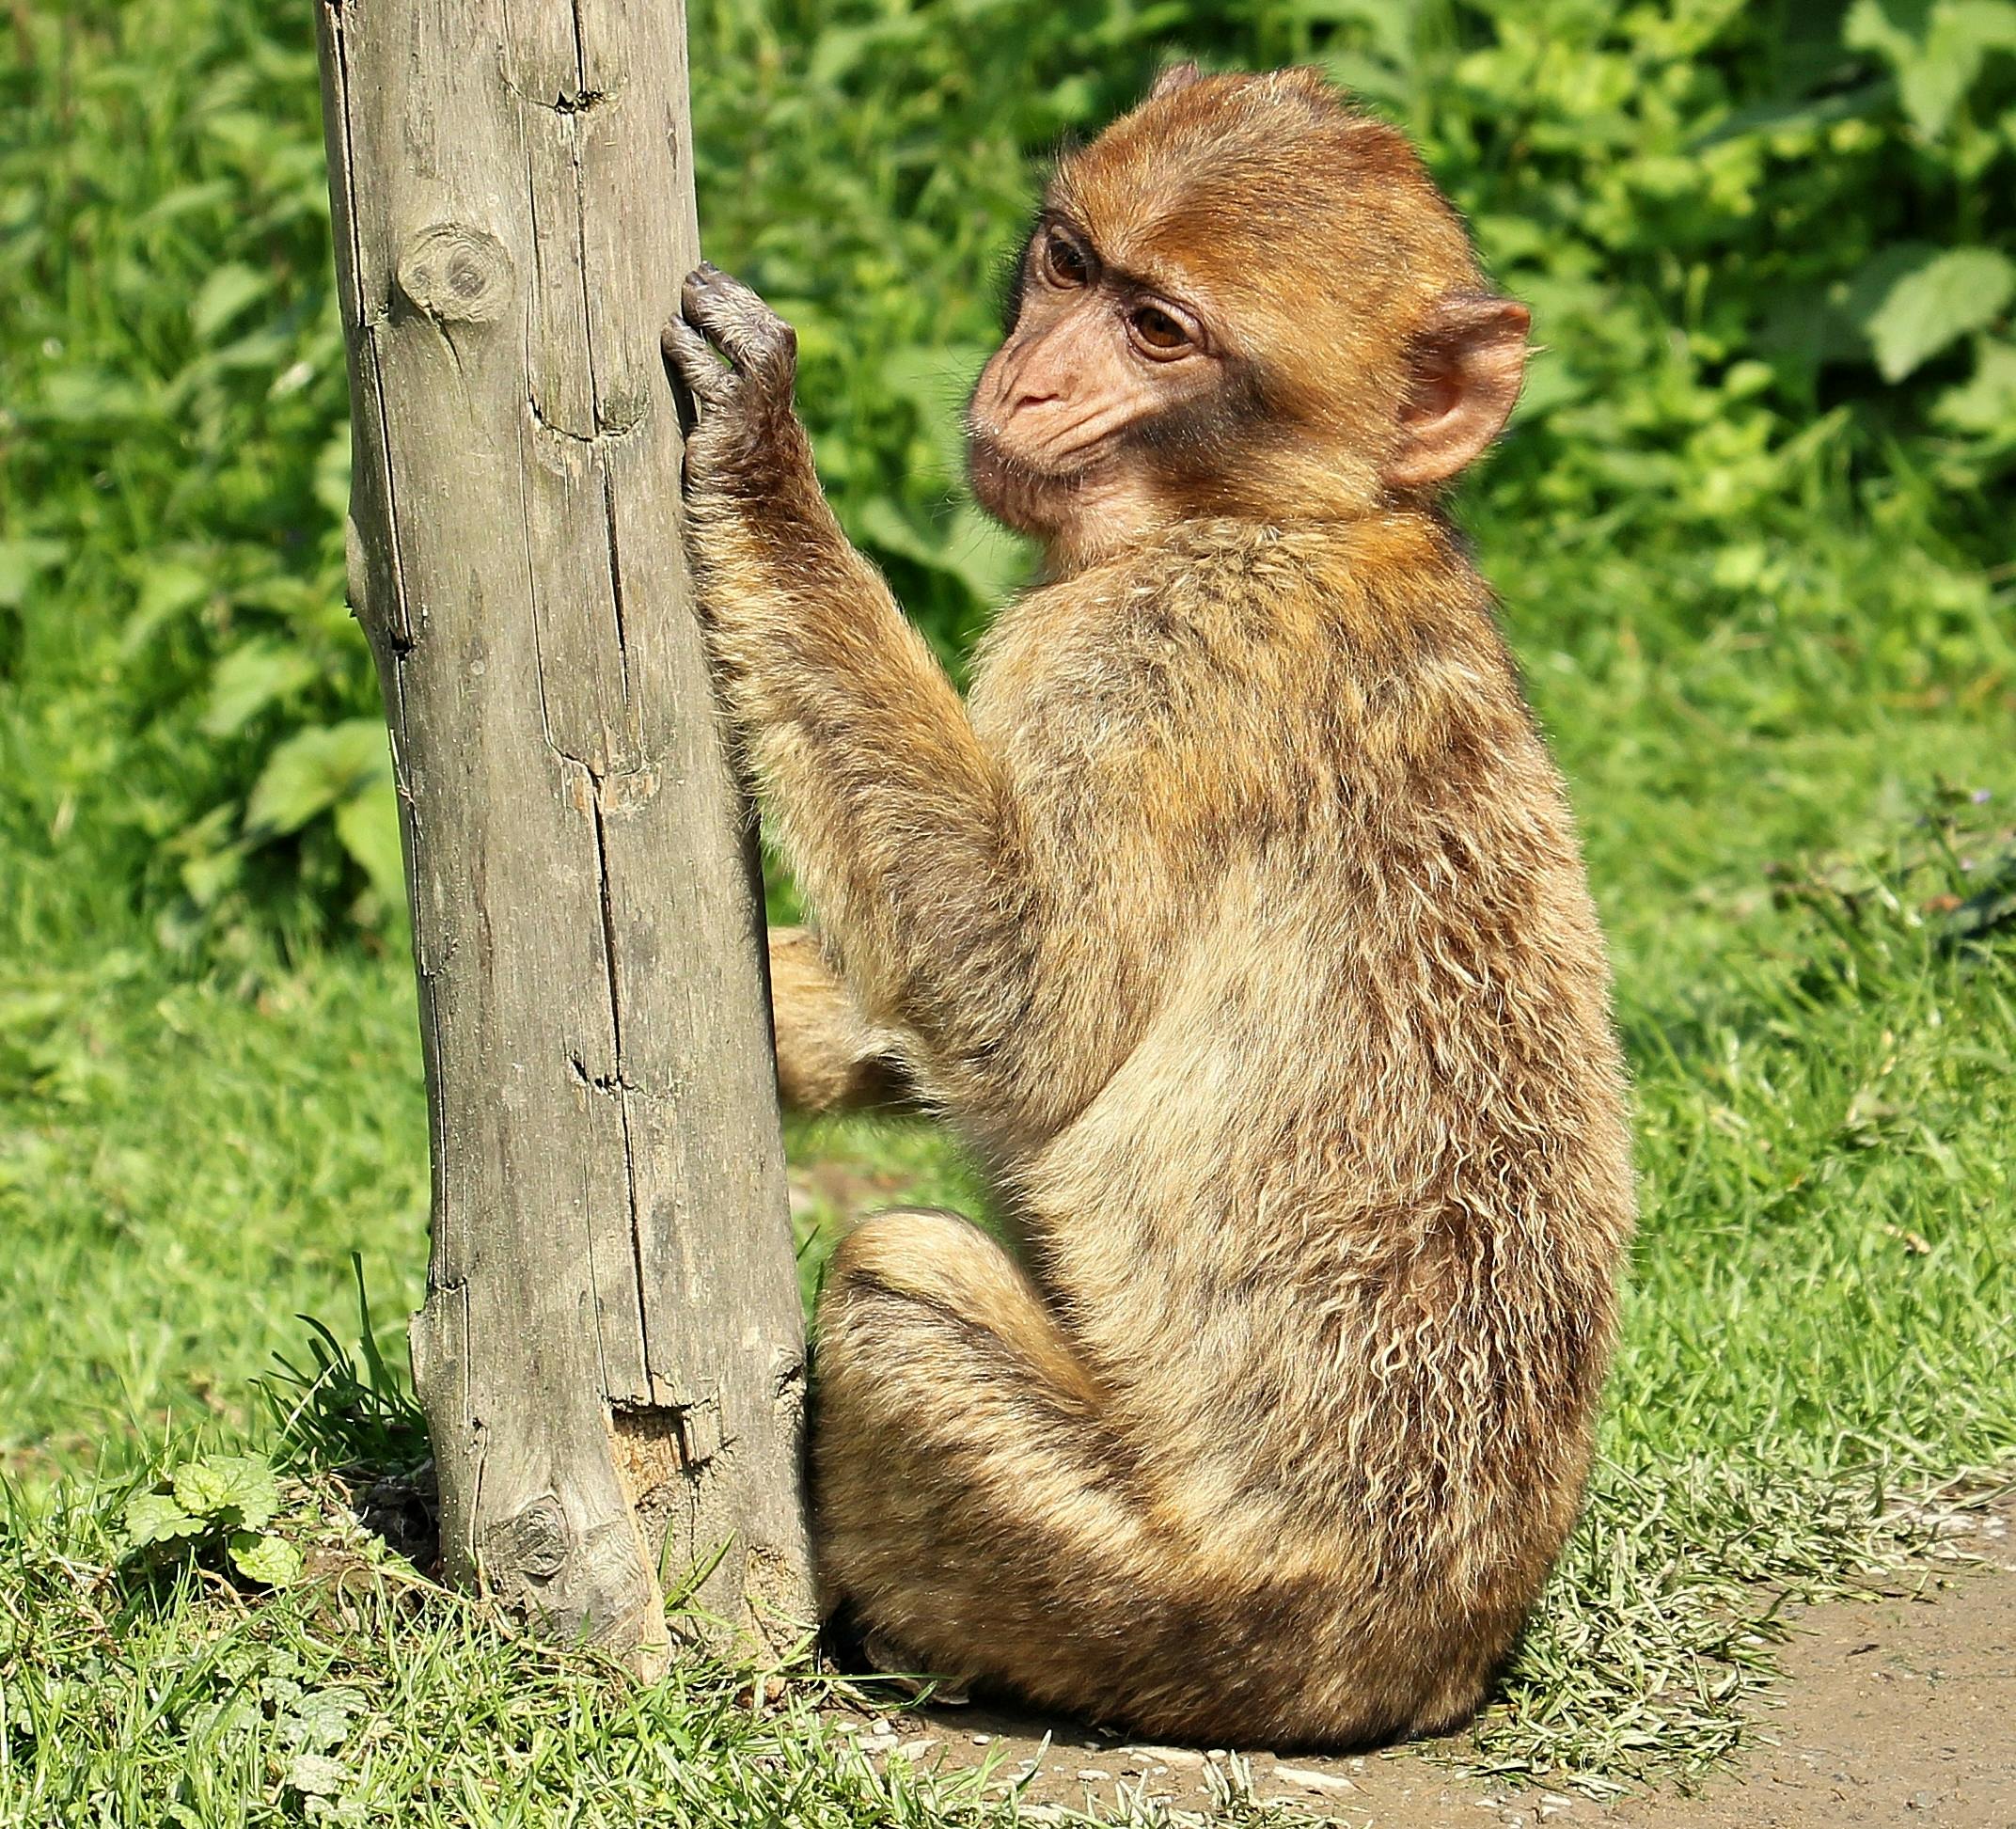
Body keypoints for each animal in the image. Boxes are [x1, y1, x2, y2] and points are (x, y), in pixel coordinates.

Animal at [661, 64, 1636, 1742]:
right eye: (1069, 263)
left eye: (1160, 330)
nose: (1030, 382)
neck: (1283, 516)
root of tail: (1423, 1657)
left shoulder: (1150, 655)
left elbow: (1024, 1014)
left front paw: (764, 464)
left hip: (1159, 1595)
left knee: (900, 1282)